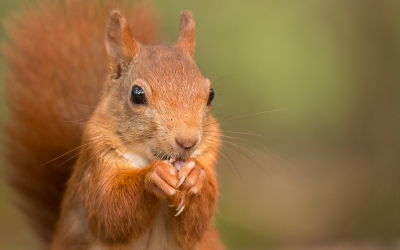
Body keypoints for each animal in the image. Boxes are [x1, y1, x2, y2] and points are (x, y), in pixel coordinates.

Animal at [3, 0, 223, 250]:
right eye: (137, 94)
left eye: (211, 94)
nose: (188, 142)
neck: (148, 158)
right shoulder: (97, 157)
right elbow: (110, 212)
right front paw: (154, 176)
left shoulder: (209, 152)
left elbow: (196, 225)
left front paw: (196, 176)